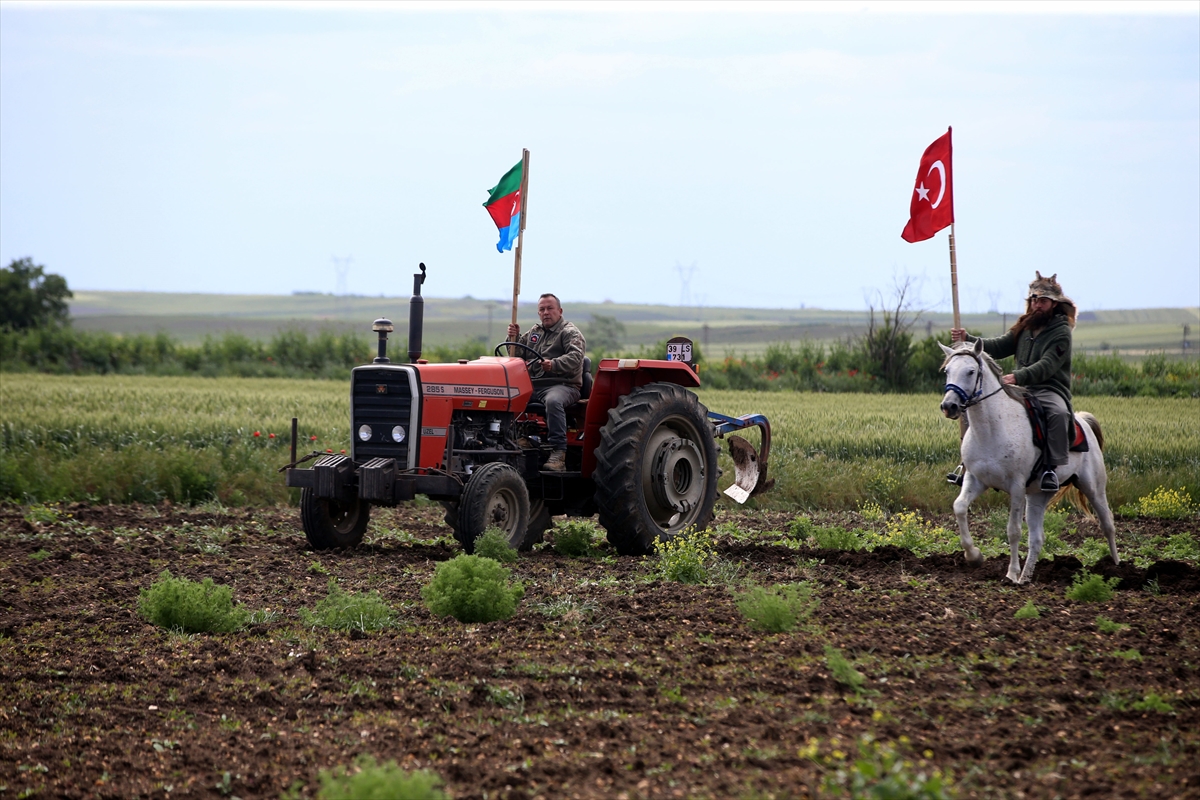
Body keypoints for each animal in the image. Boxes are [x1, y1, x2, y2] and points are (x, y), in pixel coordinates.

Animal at [936, 340, 1113, 585]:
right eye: (947, 371)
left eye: (971, 371)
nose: (949, 406)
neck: (991, 430)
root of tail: (1082, 421)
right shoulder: (976, 480)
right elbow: (960, 507)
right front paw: (974, 557)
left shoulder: (1016, 487)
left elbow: (1013, 530)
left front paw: (1010, 573)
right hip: (1038, 495)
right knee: (1037, 538)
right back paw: (1025, 579)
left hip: (1093, 488)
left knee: (1108, 524)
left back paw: (1116, 568)